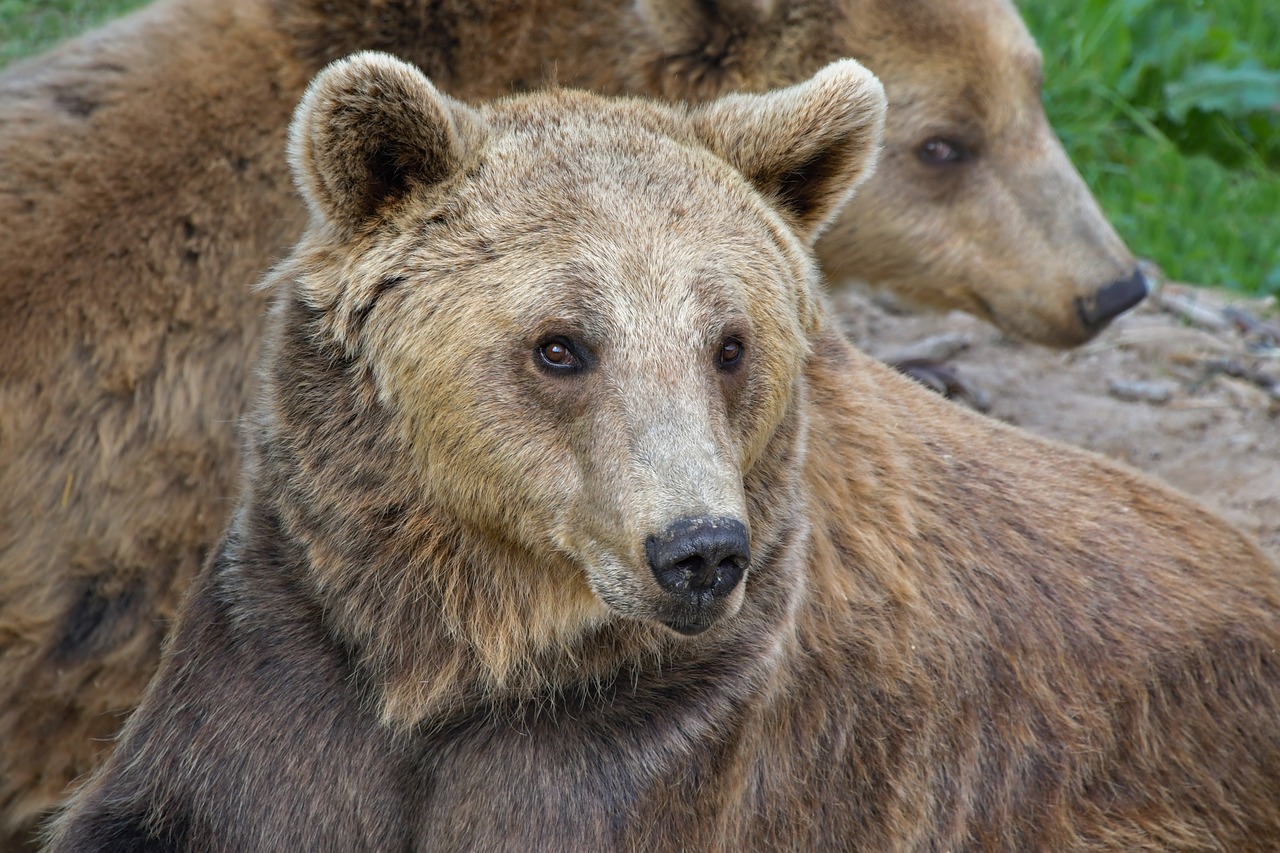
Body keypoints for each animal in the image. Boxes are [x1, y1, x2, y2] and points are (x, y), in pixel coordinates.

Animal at [42, 54, 1280, 850]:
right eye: (558, 344)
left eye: (729, 342)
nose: (698, 550)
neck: (459, 645)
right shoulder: (284, 669)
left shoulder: (659, 747)